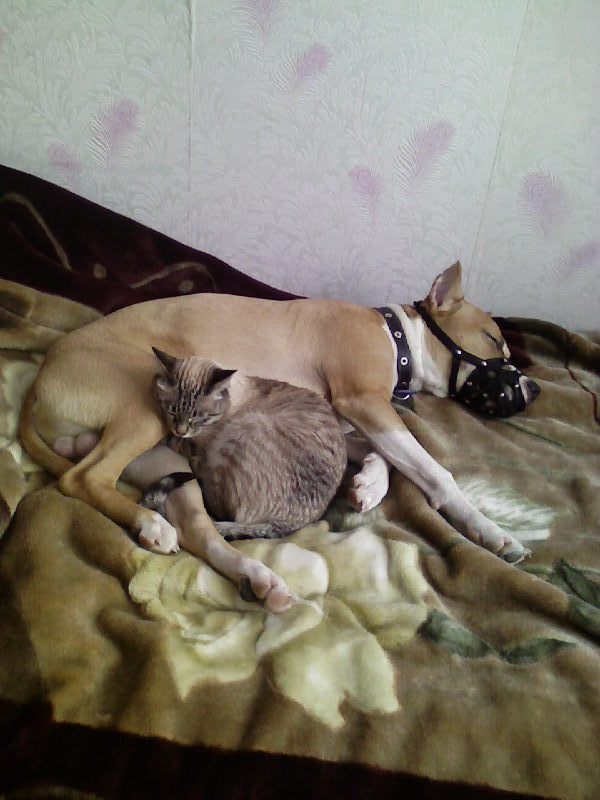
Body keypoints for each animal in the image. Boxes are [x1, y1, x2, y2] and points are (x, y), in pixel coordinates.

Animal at [140, 348, 347, 541]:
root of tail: (289, 525)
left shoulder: (199, 443)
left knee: (218, 505)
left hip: (245, 427)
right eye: (171, 411)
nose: (180, 430)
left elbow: (174, 441)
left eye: (198, 418)